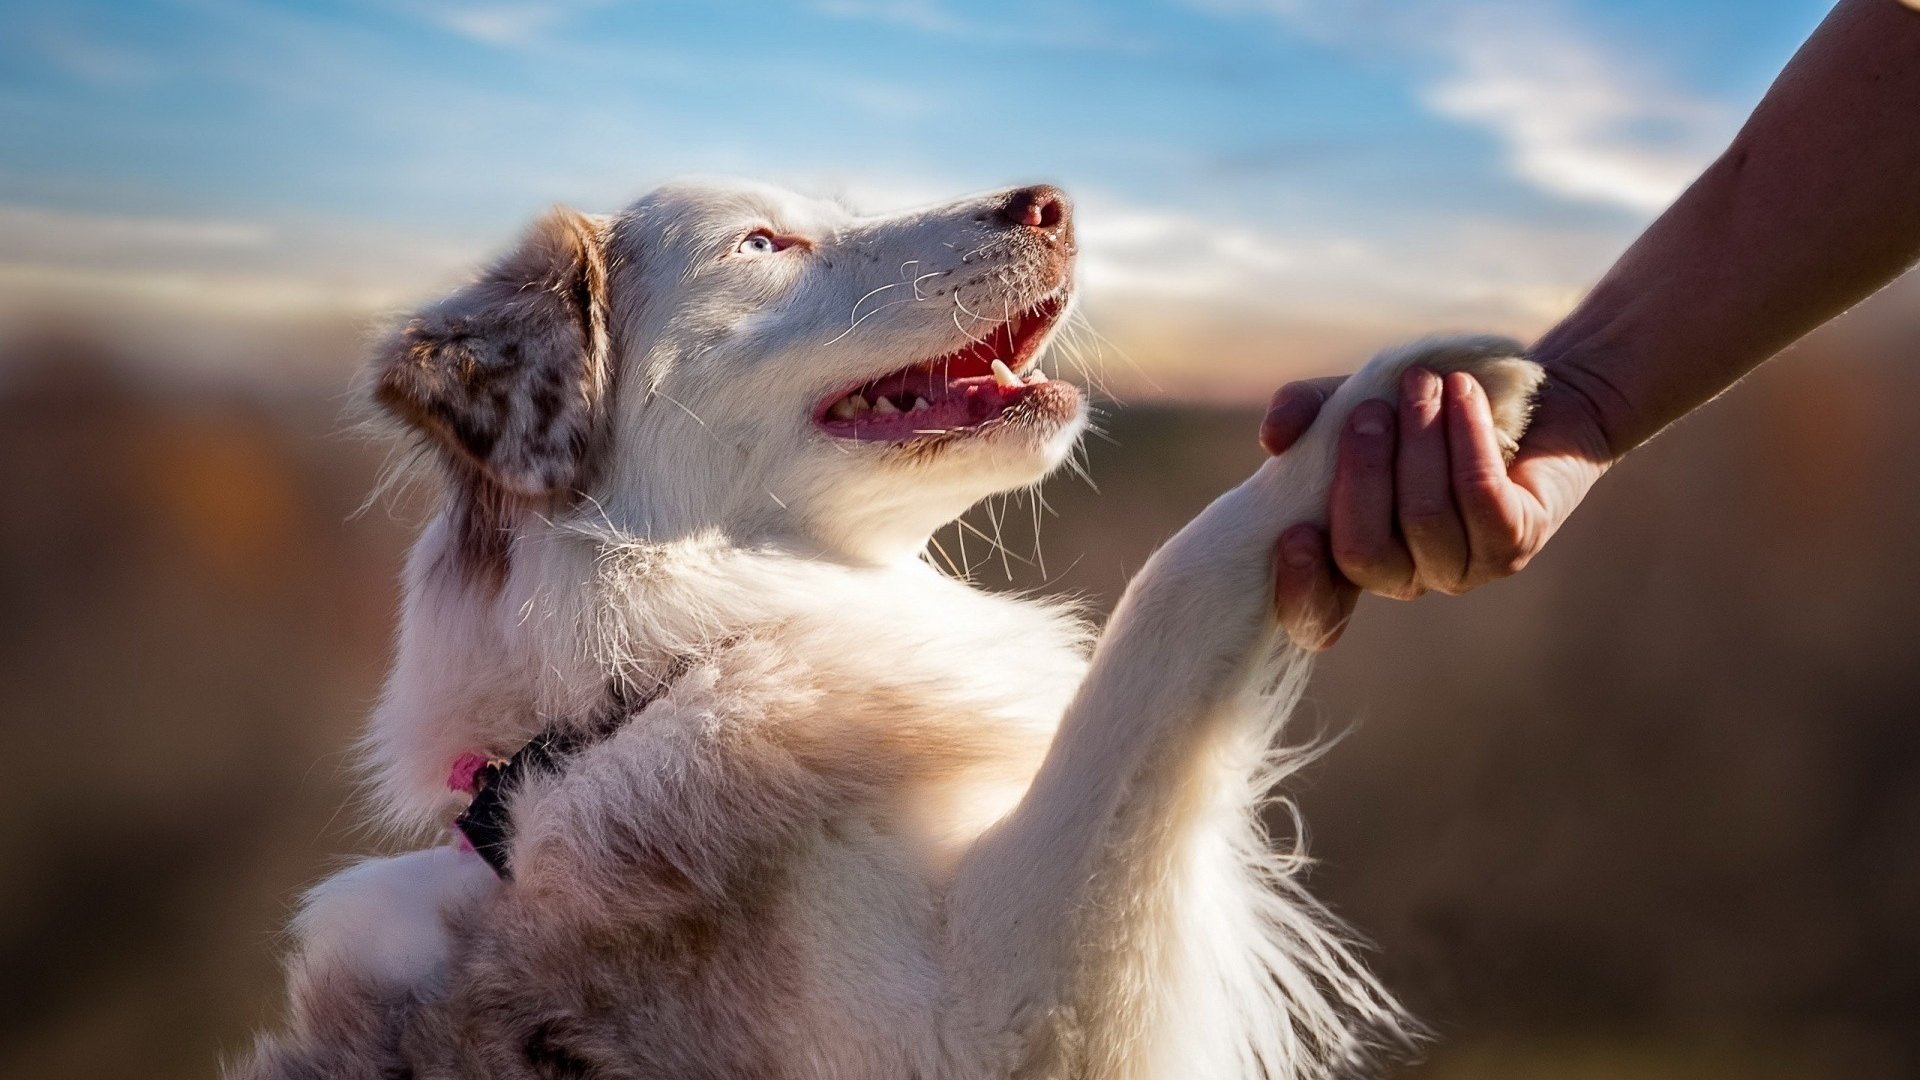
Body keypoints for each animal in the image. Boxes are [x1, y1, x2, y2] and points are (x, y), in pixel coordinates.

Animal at [232, 178, 1536, 1076]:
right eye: (764, 243)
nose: (1053, 202)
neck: (657, 676)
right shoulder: (994, 1019)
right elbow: (1168, 607)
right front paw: (1397, 401)